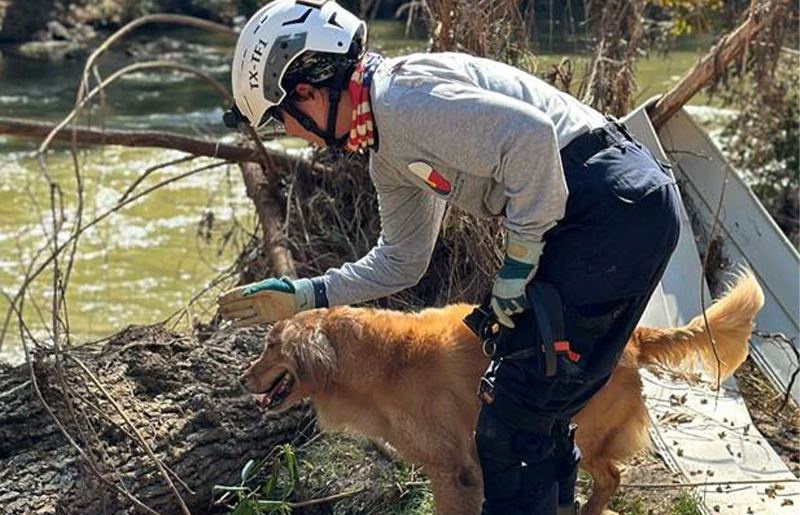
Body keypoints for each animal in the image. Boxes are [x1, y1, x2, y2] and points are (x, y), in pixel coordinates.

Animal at [242, 272, 764, 512]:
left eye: (269, 347)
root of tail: (634, 339)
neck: (380, 362)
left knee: (610, 477)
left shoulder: (452, 470)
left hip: (579, 430)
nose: (244, 380)